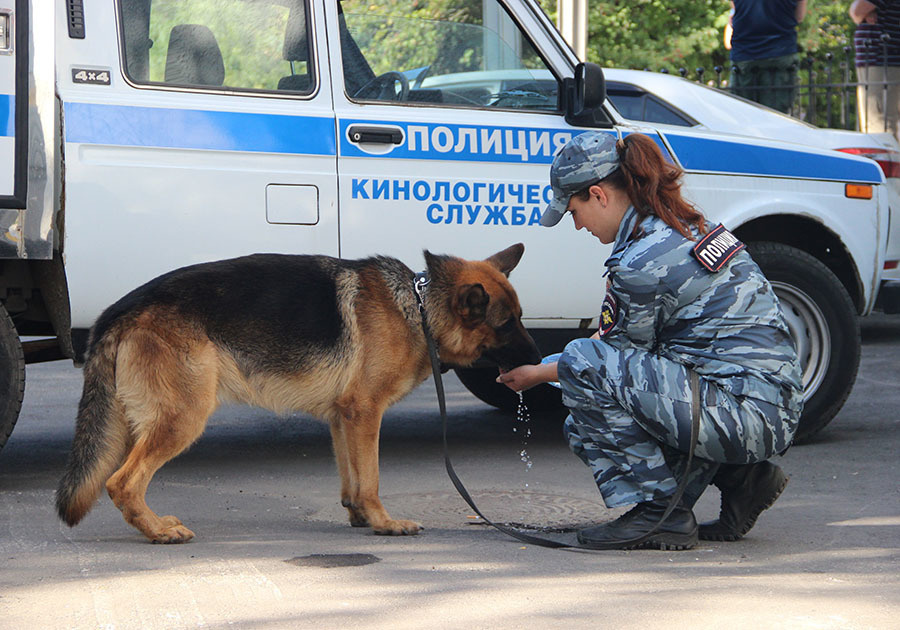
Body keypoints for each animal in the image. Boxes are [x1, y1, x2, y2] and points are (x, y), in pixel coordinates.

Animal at [56, 246, 540, 544]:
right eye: (507, 324)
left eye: (521, 316)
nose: (541, 358)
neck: (419, 307)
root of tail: (119, 311)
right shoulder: (366, 412)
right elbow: (372, 477)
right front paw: (384, 522)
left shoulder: (343, 417)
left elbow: (352, 477)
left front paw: (360, 516)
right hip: (183, 418)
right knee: (121, 482)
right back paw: (158, 532)